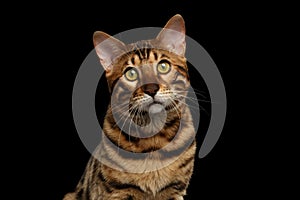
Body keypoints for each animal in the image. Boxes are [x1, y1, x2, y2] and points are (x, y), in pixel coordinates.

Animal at [64, 13, 197, 198]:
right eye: (131, 74)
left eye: (163, 66)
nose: (151, 88)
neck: (154, 139)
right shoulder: (116, 192)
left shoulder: (175, 190)